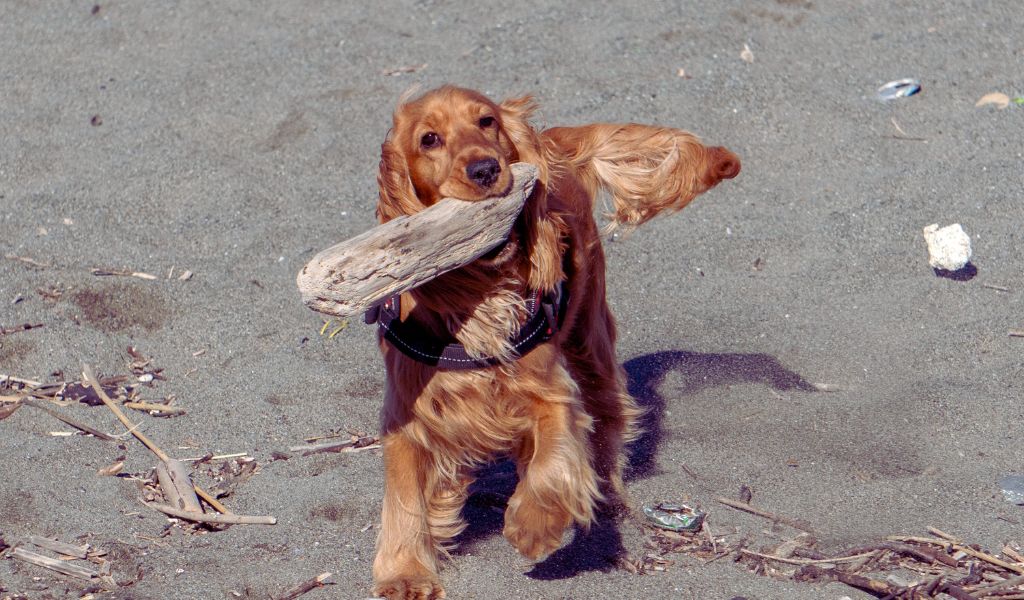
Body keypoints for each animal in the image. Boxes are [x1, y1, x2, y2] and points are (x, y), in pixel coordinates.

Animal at [372, 82, 741, 593]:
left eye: (486, 122)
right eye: (429, 139)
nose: (486, 169)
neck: (479, 298)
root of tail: (550, 140)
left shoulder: (550, 391)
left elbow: (554, 458)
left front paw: (534, 525)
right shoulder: (408, 411)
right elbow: (405, 494)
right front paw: (404, 573)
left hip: (589, 333)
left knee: (606, 418)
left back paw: (605, 497)